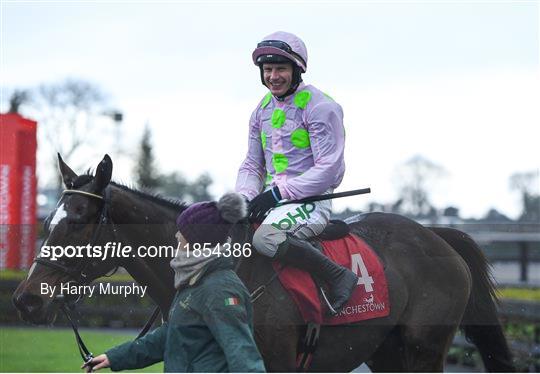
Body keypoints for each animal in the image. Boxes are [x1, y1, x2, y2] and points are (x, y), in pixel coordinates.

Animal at [10, 155, 512, 372]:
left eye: (77, 223)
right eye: (48, 222)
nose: (25, 299)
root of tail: (437, 235)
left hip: (424, 349)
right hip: (387, 352)